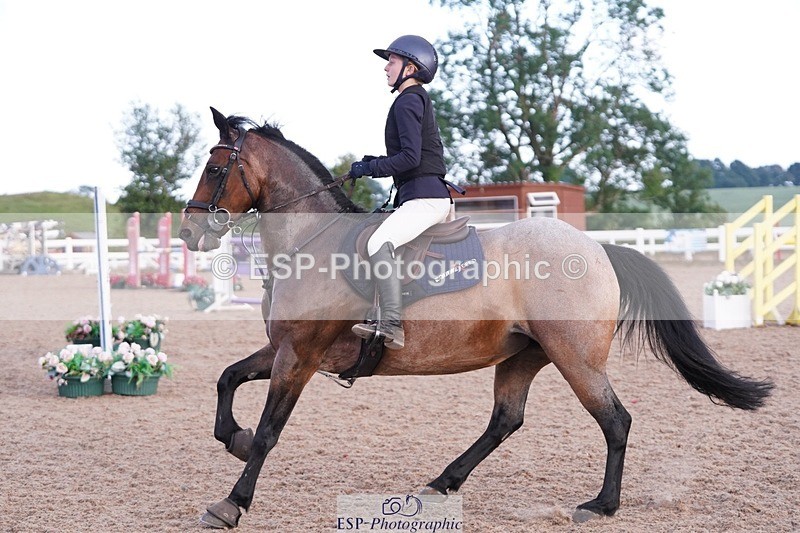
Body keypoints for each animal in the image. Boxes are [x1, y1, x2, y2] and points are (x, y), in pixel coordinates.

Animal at [179, 107, 774, 528]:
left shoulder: (299, 357)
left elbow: (269, 432)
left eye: (214, 168)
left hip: (575, 359)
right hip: (525, 356)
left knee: (615, 421)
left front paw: (231, 502)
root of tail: (598, 250)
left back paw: (600, 505)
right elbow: (227, 378)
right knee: (506, 419)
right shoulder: (282, 350)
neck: (311, 242)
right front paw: (231, 437)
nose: (188, 231)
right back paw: (443, 482)